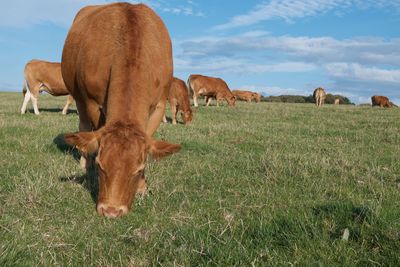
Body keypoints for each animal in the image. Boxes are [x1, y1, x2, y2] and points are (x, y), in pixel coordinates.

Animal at [61, 3, 180, 219]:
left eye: (138, 169)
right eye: (101, 165)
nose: (111, 211)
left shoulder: (159, 105)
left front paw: (142, 186)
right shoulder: (92, 101)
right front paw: (91, 172)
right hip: (78, 93)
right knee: (83, 126)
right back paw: (84, 161)